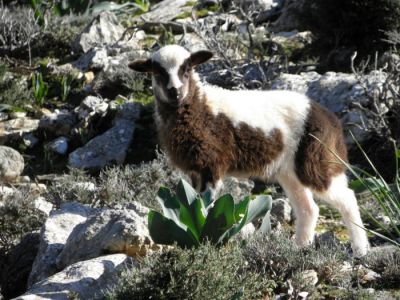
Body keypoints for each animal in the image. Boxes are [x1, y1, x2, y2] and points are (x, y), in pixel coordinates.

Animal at [130, 44, 370, 255]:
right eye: (157, 72)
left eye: (187, 69)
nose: (175, 92)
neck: (200, 108)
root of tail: (331, 119)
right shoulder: (194, 169)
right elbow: (194, 202)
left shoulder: (212, 163)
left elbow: (206, 206)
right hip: (289, 171)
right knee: (308, 208)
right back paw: (299, 248)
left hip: (316, 161)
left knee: (347, 199)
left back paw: (361, 249)